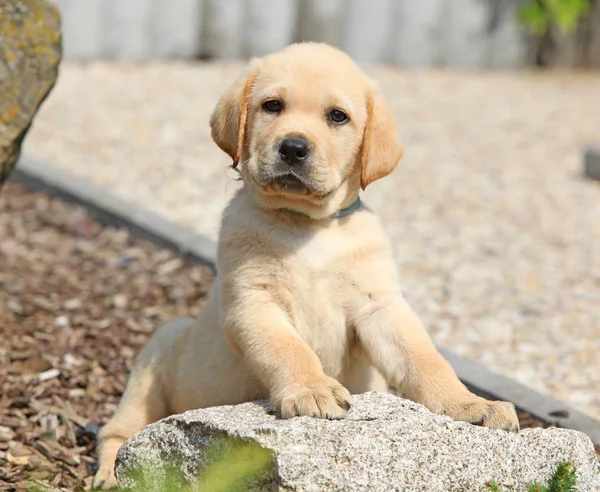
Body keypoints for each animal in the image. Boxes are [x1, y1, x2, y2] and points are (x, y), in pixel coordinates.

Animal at [95, 42, 520, 488]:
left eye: (338, 116)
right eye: (272, 106)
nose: (293, 148)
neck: (307, 226)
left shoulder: (379, 306)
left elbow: (424, 359)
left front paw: (468, 404)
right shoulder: (253, 302)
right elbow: (288, 349)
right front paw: (311, 390)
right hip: (158, 351)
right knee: (118, 434)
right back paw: (110, 474)